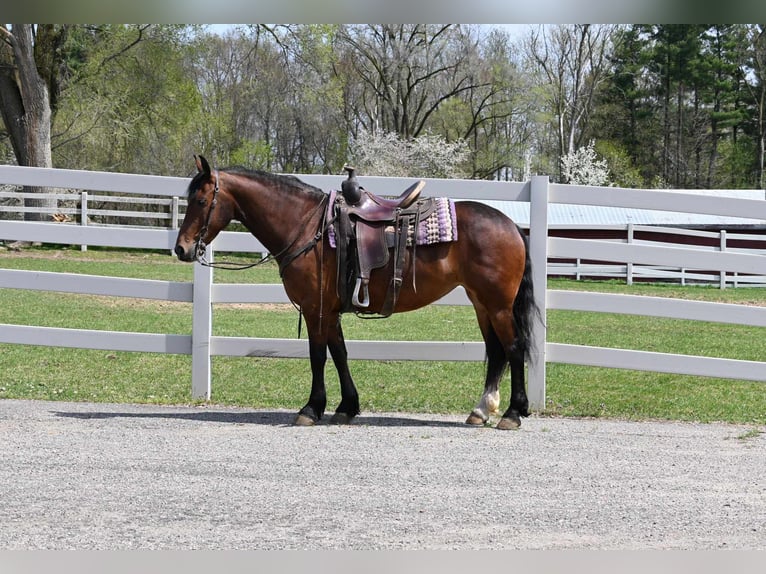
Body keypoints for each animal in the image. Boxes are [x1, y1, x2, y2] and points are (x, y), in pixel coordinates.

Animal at [174, 155, 540, 430]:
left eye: (201, 200)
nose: (181, 249)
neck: (307, 226)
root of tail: (510, 225)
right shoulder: (331, 310)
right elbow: (340, 354)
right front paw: (347, 407)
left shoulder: (316, 308)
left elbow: (318, 356)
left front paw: (311, 408)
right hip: (482, 303)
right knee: (496, 352)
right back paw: (481, 410)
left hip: (498, 305)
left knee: (513, 348)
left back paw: (512, 413)